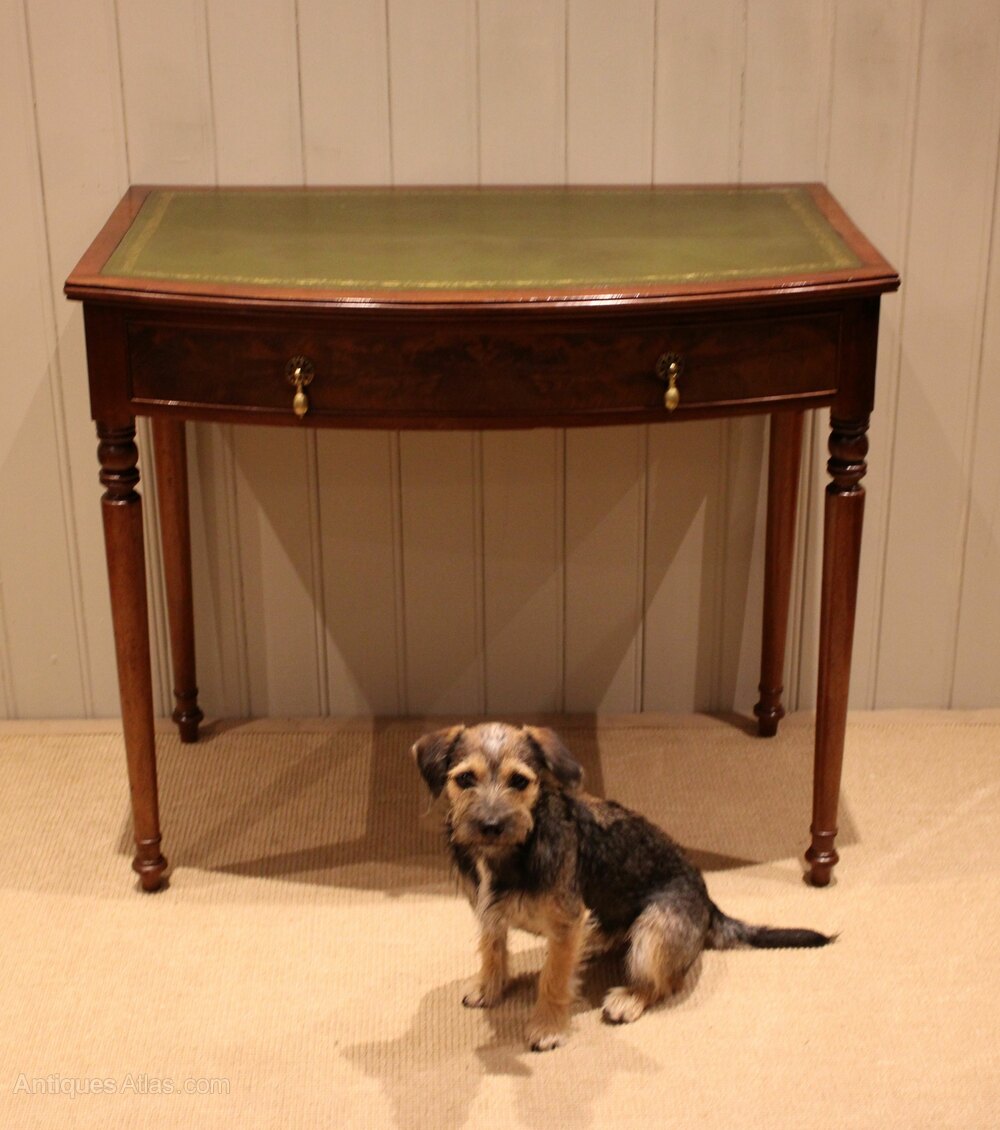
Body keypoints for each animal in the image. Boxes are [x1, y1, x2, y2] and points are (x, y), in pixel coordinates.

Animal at [412, 721, 833, 1051]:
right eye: (465, 779)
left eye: (519, 781)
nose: (490, 825)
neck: (514, 850)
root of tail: (710, 906)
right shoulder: (489, 914)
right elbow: (493, 952)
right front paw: (489, 987)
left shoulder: (565, 923)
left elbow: (553, 978)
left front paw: (547, 1027)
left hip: (654, 931)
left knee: (665, 982)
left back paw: (629, 998)